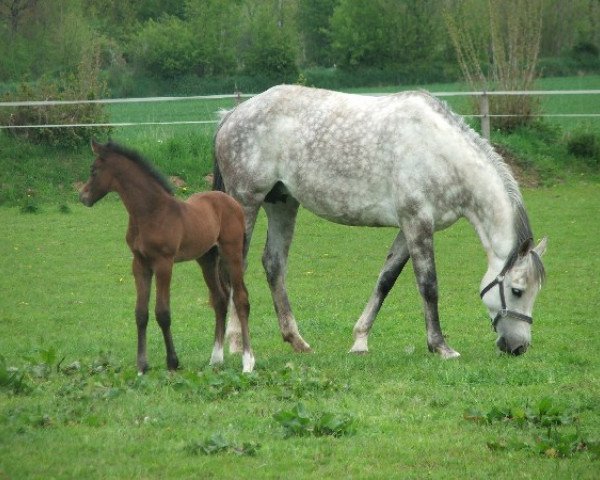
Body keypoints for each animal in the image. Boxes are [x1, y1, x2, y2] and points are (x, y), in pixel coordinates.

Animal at [213, 84, 548, 358]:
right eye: (517, 291)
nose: (518, 347)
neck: (439, 152)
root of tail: (233, 114)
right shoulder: (417, 223)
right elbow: (428, 284)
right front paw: (440, 346)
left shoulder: (408, 227)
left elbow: (386, 279)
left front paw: (360, 340)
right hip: (246, 203)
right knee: (237, 266)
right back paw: (237, 344)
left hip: (282, 203)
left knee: (273, 264)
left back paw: (297, 341)